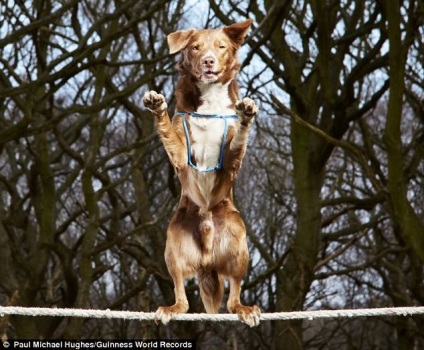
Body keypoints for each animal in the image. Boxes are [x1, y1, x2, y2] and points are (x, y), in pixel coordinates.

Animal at [144, 19, 260, 326]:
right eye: (195, 47)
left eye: (220, 46)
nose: (208, 61)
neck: (210, 100)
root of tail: (207, 258)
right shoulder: (181, 155)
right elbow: (168, 133)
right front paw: (157, 106)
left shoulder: (230, 161)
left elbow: (238, 139)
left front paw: (247, 113)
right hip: (173, 247)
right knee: (181, 294)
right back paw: (171, 308)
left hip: (238, 246)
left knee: (233, 296)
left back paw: (245, 308)